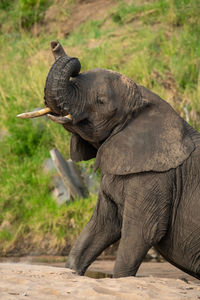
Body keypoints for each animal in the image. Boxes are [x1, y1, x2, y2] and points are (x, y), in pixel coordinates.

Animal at [17, 41, 200, 278]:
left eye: (101, 101)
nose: (55, 44)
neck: (144, 95)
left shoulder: (157, 180)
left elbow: (142, 233)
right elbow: (99, 227)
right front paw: (73, 271)